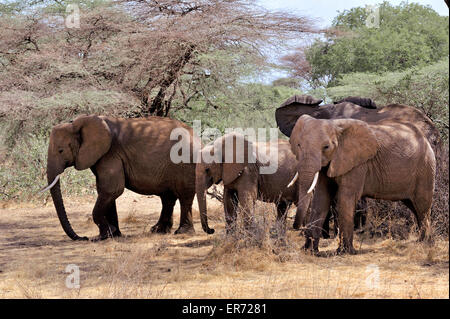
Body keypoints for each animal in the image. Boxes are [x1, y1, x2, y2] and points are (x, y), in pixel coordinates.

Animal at [42, 114, 200, 241]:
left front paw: (103, 236)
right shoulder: (102, 156)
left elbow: (112, 190)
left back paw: (182, 232)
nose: (83, 237)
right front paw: (113, 234)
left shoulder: (110, 154)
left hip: (186, 161)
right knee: (167, 197)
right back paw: (158, 231)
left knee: (184, 196)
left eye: (61, 150)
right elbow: (105, 191)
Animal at [284, 115, 436, 255]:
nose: (296, 227)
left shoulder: (357, 164)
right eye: (299, 145)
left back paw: (425, 243)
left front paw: (344, 252)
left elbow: (345, 198)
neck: (335, 124)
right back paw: (421, 241)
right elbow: (321, 197)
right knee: (413, 206)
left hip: (425, 169)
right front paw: (309, 251)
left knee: (422, 206)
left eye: (326, 147)